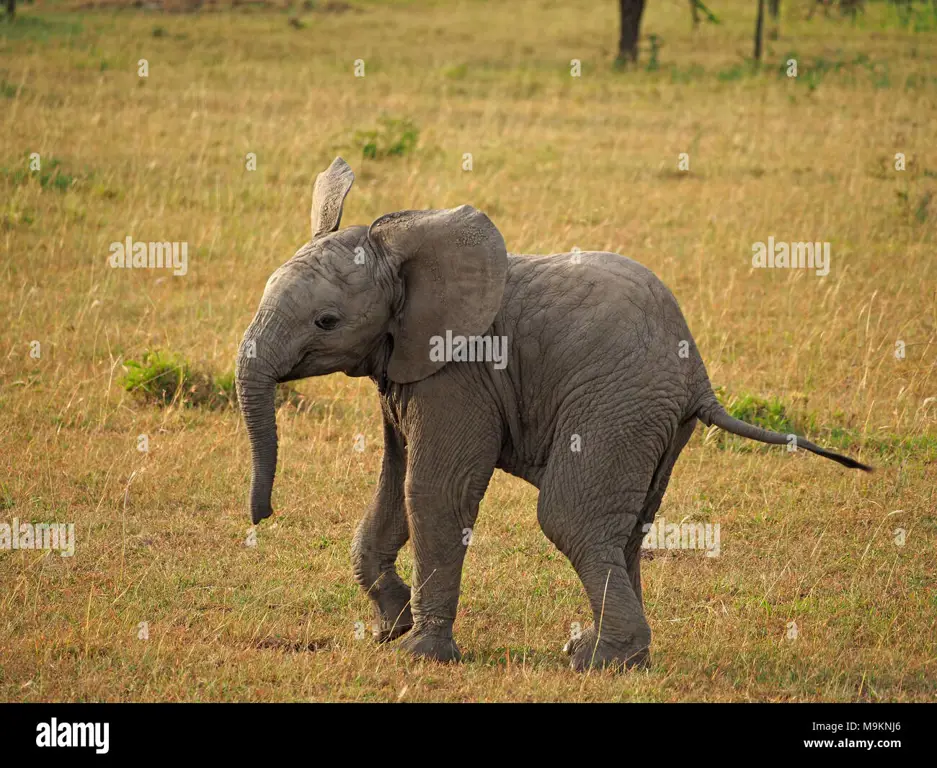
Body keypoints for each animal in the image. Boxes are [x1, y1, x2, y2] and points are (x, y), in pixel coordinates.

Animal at [236, 158, 872, 672]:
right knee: (628, 528)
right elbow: (393, 488)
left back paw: (597, 661)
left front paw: (418, 653)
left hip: (618, 405)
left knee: (572, 518)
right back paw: (614, 656)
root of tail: (699, 377)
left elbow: (434, 492)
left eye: (326, 321)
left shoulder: (458, 374)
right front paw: (389, 627)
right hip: (655, 423)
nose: (263, 516)